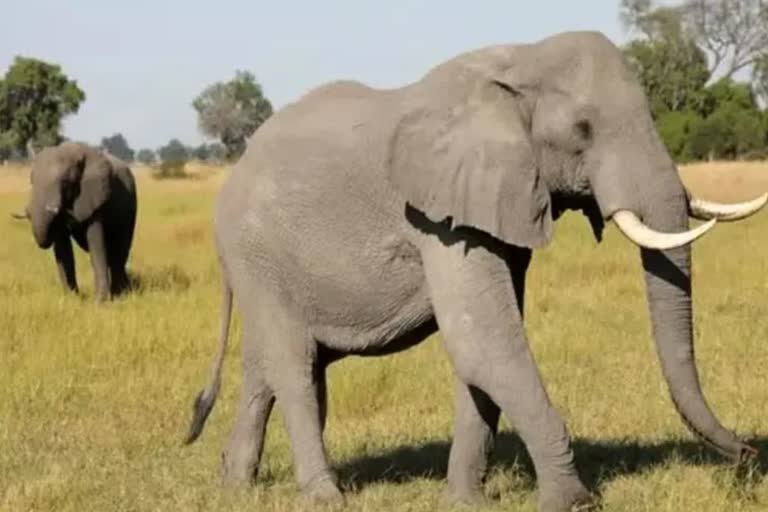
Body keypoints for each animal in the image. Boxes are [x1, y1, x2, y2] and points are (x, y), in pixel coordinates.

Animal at [13, 141, 138, 300]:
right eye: (31, 180)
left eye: (66, 183)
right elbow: (63, 250)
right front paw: (71, 299)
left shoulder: (95, 196)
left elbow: (96, 246)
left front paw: (100, 301)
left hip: (131, 207)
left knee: (119, 251)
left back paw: (121, 293)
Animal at [186, 30, 768, 510]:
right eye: (582, 129)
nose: (746, 457)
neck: (521, 61)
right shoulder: (438, 216)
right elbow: (484, 341)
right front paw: (573, 503)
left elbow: (484, 350)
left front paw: (467, 501)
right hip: (255, 252)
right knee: (295, 365)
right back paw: (325, 497)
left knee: (269, 367)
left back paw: (236, 486)